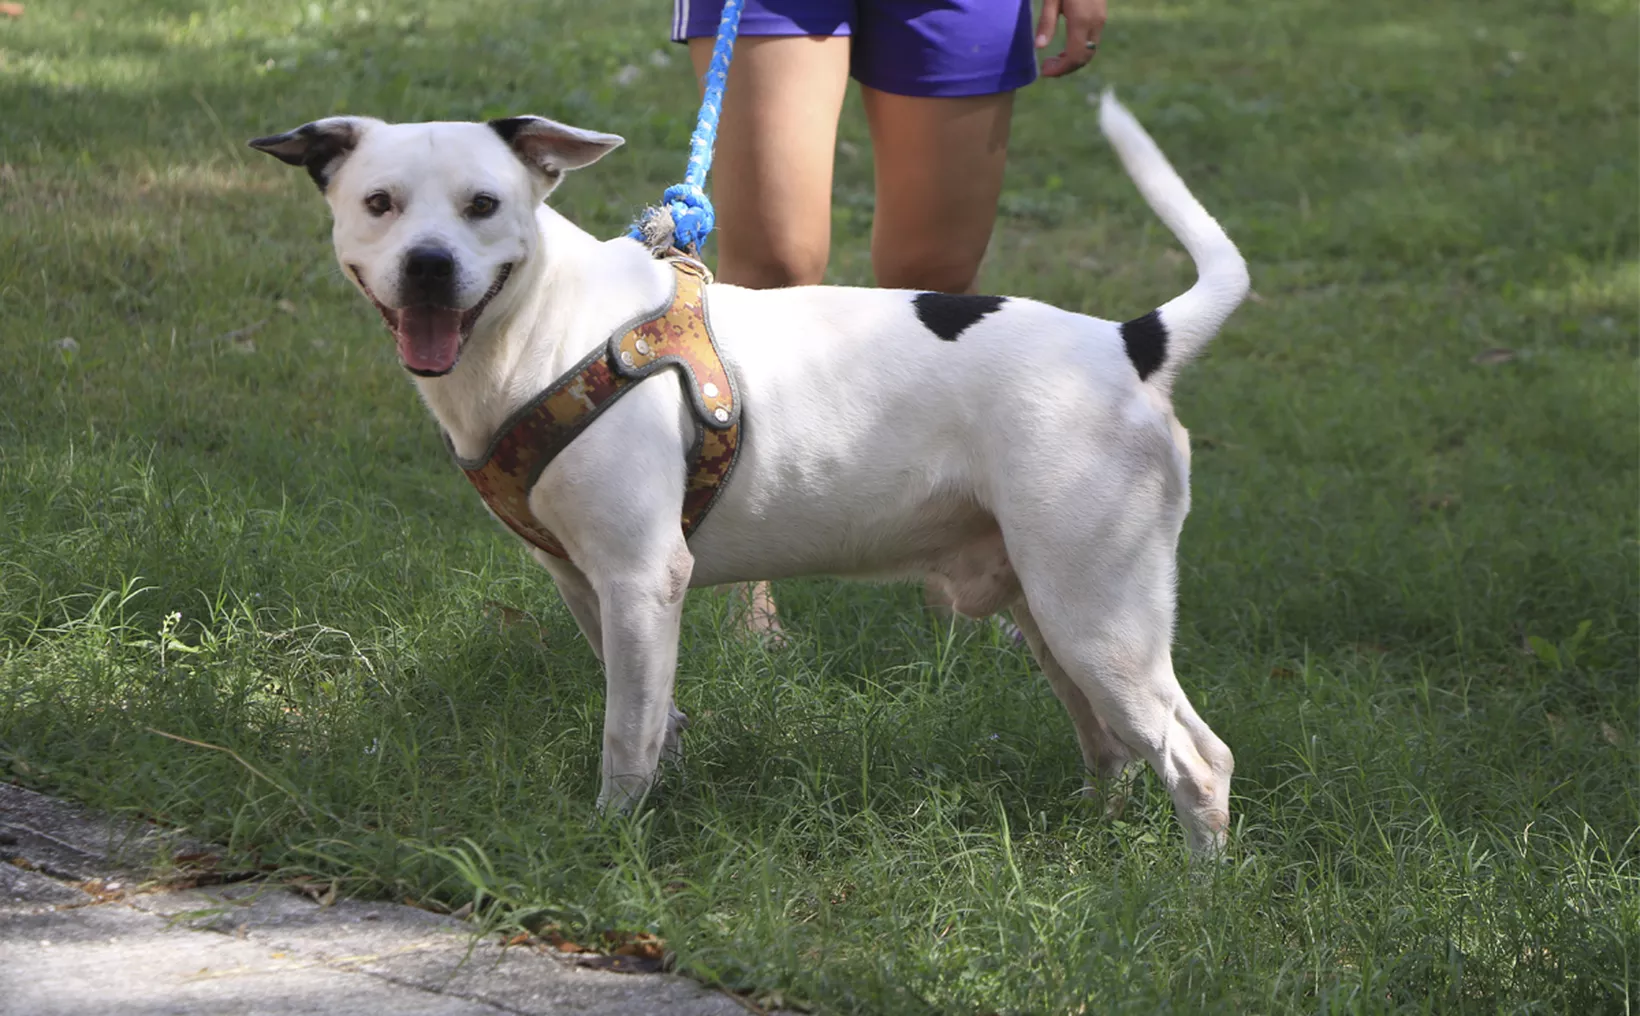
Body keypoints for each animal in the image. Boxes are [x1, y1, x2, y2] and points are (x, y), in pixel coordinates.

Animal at [249, 95, 1246, 858]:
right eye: (380, 202)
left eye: (483, 204)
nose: (428, 266)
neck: (545, 329)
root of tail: (1129, 345)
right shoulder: (587, 586)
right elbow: (652, 714)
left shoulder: (644, 578)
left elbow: (624, 733)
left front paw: (610, 837)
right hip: (1049, 613)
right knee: (1113, 747)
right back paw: (1094, 839)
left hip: (1099, 617)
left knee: (1198, 759)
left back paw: (1193, 893)